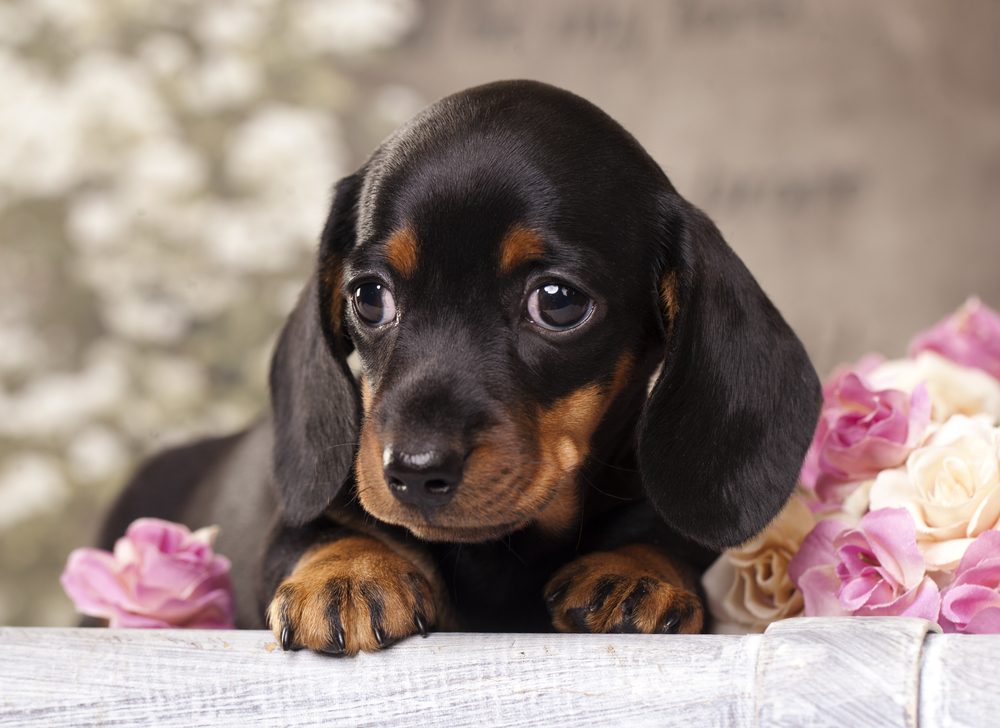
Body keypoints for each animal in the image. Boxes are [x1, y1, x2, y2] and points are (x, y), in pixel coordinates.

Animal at [99, 81, 820, 656]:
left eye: (558, 302)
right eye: (368, 295)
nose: (415, 471)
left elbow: (659, 537)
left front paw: (635, 571)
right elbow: (318, 532)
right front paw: (349, 573)